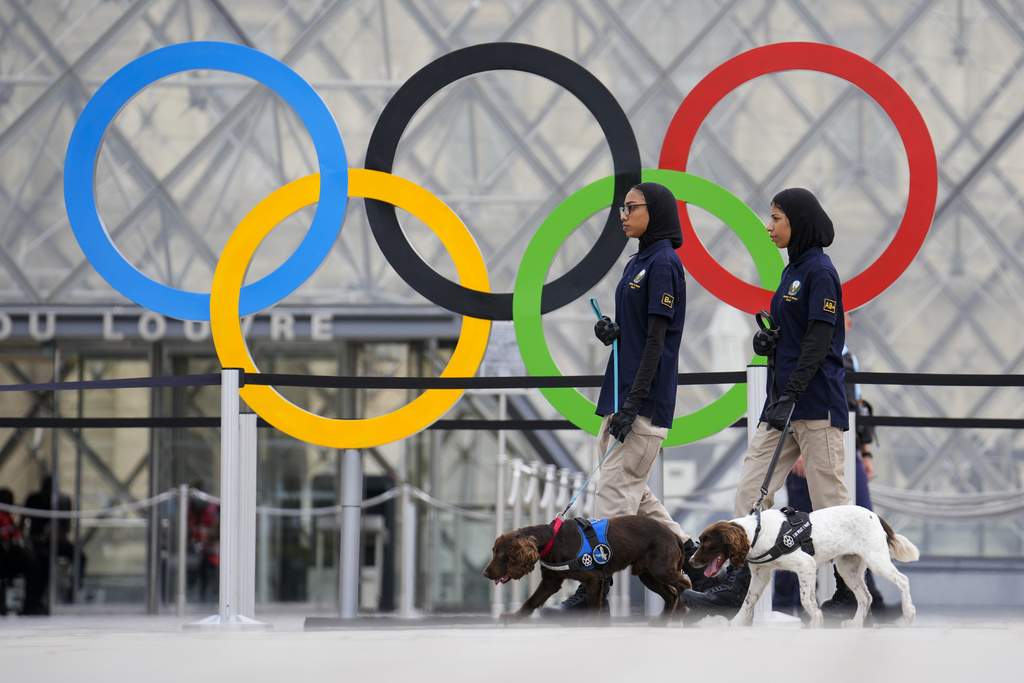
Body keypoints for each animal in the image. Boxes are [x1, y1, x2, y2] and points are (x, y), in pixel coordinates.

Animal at [483, 518, 692, 626]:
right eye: (493, 551)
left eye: (500, 554)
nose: (485, 574)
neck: (553, 540)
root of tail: (674, 535)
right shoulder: (551, 581)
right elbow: (531, 601)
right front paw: (513, 617)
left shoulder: (594, 578)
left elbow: (593, 603)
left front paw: (590, 622)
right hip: (648, 574)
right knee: (671, 594)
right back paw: (664, 619)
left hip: (661, 569)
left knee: (684, 584)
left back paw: (683, 610)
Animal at [688, 505, 921, 626]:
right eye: (701, 540)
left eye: (707, 542)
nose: (690, 561)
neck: (757, 533)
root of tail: (875, 515)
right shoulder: (761, 575)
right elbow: (747, 602)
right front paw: (736, 624)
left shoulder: (806, 565)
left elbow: (806, 600)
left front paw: (816, 620)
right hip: (848, 567)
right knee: (866, 597)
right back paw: (855, 624)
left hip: (876, 560)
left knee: (903, 580)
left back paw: (909, 612)